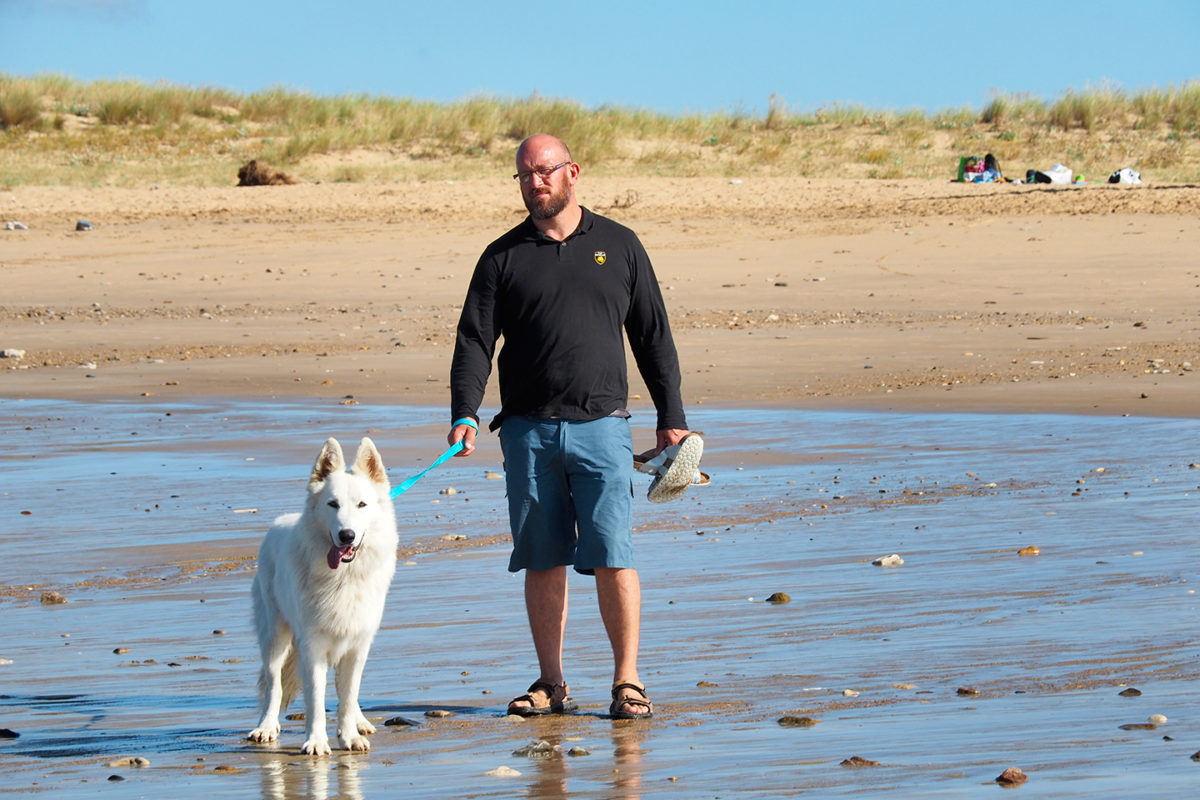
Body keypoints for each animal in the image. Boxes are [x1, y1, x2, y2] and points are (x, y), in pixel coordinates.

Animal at [247, 438, 398, 758]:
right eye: (333, 505)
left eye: (362, 505)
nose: (347, 535)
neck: (344, 578)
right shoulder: (312, 647)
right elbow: (315, 700)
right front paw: (316, 741)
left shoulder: (357, 645)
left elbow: (348, 695)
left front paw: (349, 736)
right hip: (275, 637)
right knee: (273, 684)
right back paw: (266, 726)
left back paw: (360, 722)